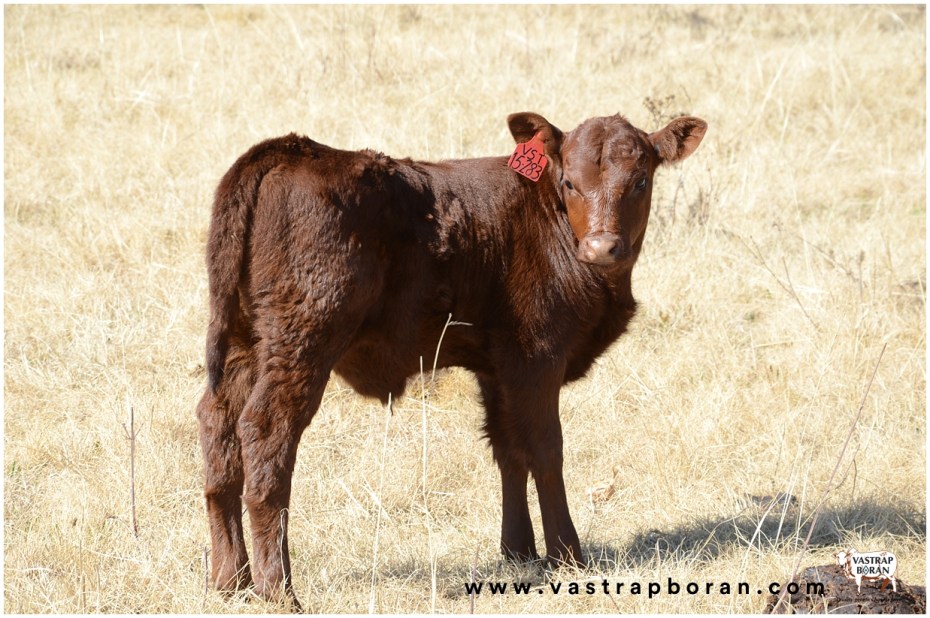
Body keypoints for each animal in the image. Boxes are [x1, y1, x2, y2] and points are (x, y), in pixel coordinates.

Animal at [196, 111, 707, 607]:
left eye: (640, 181)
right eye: (569, 182)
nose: (602, 247)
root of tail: (290, 150)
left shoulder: (497, 367)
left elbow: (507, 449)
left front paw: (518, 551)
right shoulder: (537, 358)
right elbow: (545, 449)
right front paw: (567, 556)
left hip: (244, 343)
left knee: (218, 428)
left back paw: (231, 580)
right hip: (302, 339)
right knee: (266, 433)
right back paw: (278, 589)